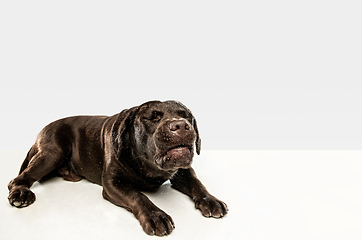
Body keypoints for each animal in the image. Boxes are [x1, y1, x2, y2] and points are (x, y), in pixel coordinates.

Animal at [7, 100, 228, 236]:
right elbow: (137, 196)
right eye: (153, 117)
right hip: (53, 153)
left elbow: (198, 184)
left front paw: (211, 200)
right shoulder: (113, 183)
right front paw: (155, 215)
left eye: (185, 115)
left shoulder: (182, 171)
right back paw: (21, 193)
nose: (181, 125)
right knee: (19, 179)